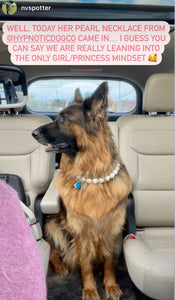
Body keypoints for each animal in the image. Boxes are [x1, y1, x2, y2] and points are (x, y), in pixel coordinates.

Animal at [32, 82, 131, 300]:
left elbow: (109, 261)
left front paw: (110, 285)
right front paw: (90, 289)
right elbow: (85, 264)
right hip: (54, 224)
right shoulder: (79, 230)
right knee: (52, 251)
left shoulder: (111, 228)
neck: (93, 174)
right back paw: (60, 267)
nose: (33, 133)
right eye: (57, 116)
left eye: (63, 119)